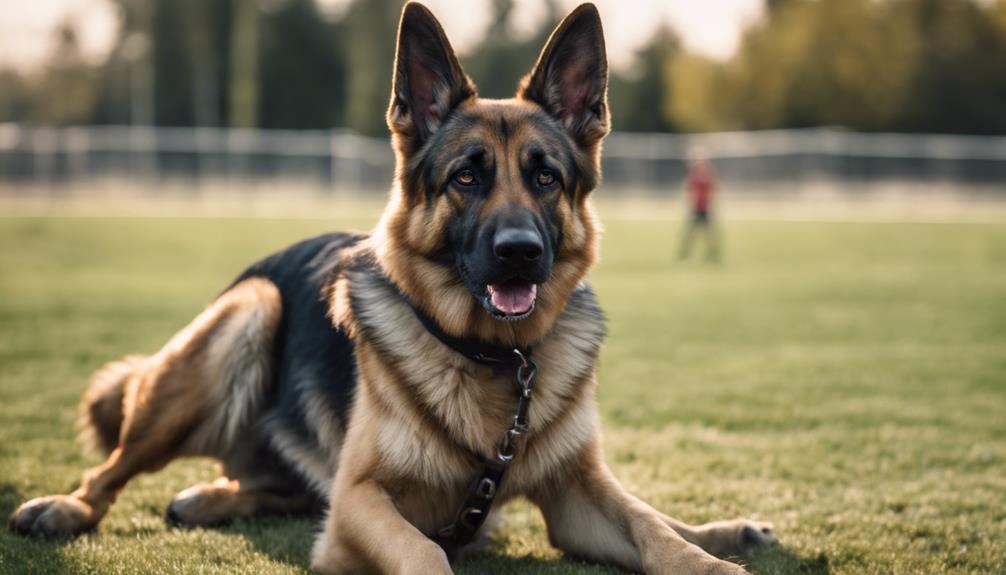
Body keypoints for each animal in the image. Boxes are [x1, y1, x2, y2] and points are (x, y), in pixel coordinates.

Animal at [9, 3, 776, 570]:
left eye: (545, 176)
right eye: (465, 177)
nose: (520, 254)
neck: (493, 357)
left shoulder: (577, 494)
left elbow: (653, 531)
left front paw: (709, 555)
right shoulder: (359, 502)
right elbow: (424, 554)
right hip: (246, 315)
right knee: (113, 470)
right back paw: (67, 506)